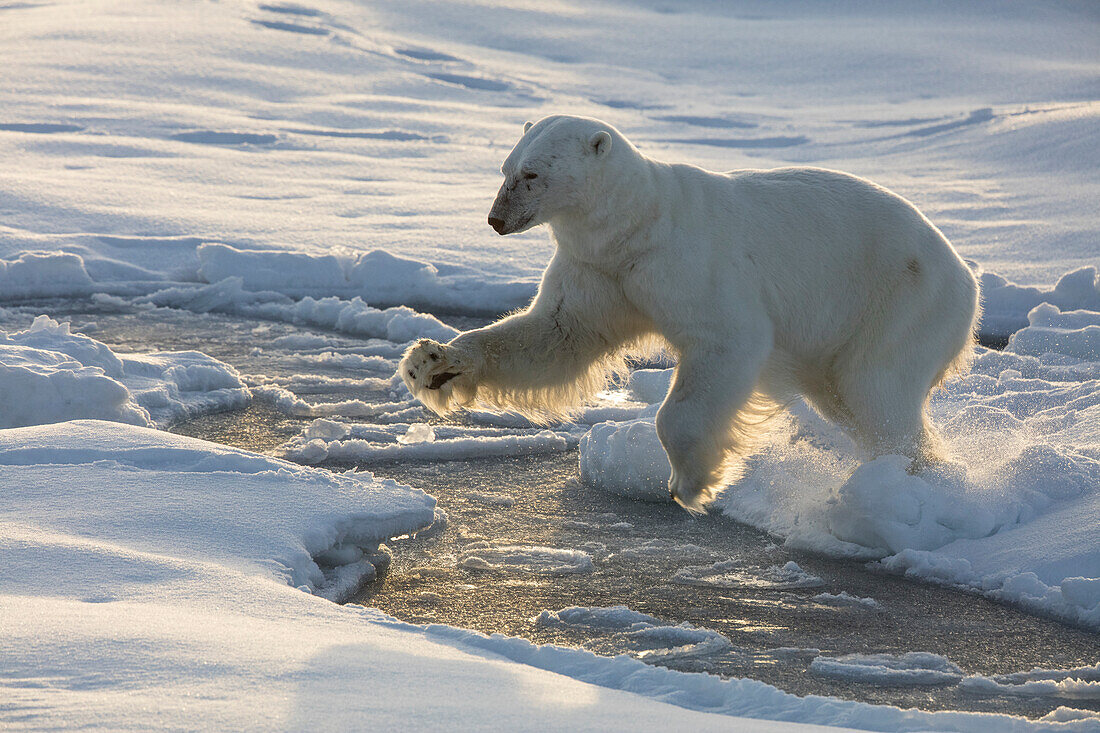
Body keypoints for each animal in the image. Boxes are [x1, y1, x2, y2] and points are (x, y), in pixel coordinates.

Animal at [402, 117, 981, 510]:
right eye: (505, 169)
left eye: (532, 173)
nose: (497, 220)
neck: (639, 222)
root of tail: (966, 274)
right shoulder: (600, 268)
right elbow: (557, 333)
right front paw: (431, 362)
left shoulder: (689, 264)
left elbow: (727, 338)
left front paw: (692, 480)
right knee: (844, 397)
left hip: (900, 299)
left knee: (876, 390)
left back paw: (909, 477)